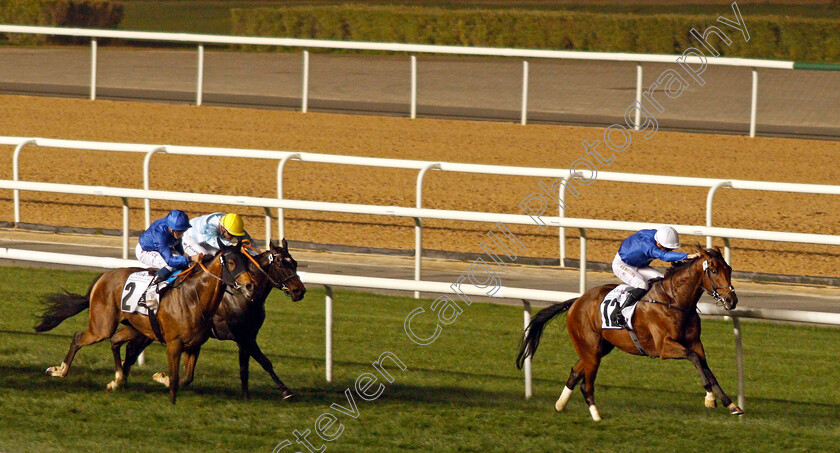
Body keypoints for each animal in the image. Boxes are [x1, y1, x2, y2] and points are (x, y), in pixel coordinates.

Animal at [34, 240, 256, 402]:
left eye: (246, 262)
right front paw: (171, 399)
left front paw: (161, 378)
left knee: (115, 341)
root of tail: (104, 276)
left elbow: (187, 378)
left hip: (136, 328)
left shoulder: (194, 346)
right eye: (232, 262)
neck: (194, 297)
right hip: (102, 326)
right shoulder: (173, 344)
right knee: (79, 337)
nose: (250, 285)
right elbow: (175, 378)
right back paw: (60, 370)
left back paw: (117, 380)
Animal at [136, 238, 306, 398]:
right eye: (281, 264)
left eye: (295, 263)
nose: (300, 291)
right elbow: (265, 362)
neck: (242, 296)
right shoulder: (242, 336)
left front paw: (246, 397)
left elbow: (244, 368)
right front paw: (285, 391)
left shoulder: (248, 335)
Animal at [516, 247, 744, 420]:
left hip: (598, 349)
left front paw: (730, 404)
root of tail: (576, 301)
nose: (731, 300)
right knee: (586, 384)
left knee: (575, 372)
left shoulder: (695, 342)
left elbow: (706, 368)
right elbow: (695, 359)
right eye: (713, 270)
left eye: (729, 268)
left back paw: (560, 405)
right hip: (590, 349)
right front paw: (710, 399)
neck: (674, 300)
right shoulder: (665, 347)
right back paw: (595, 414)